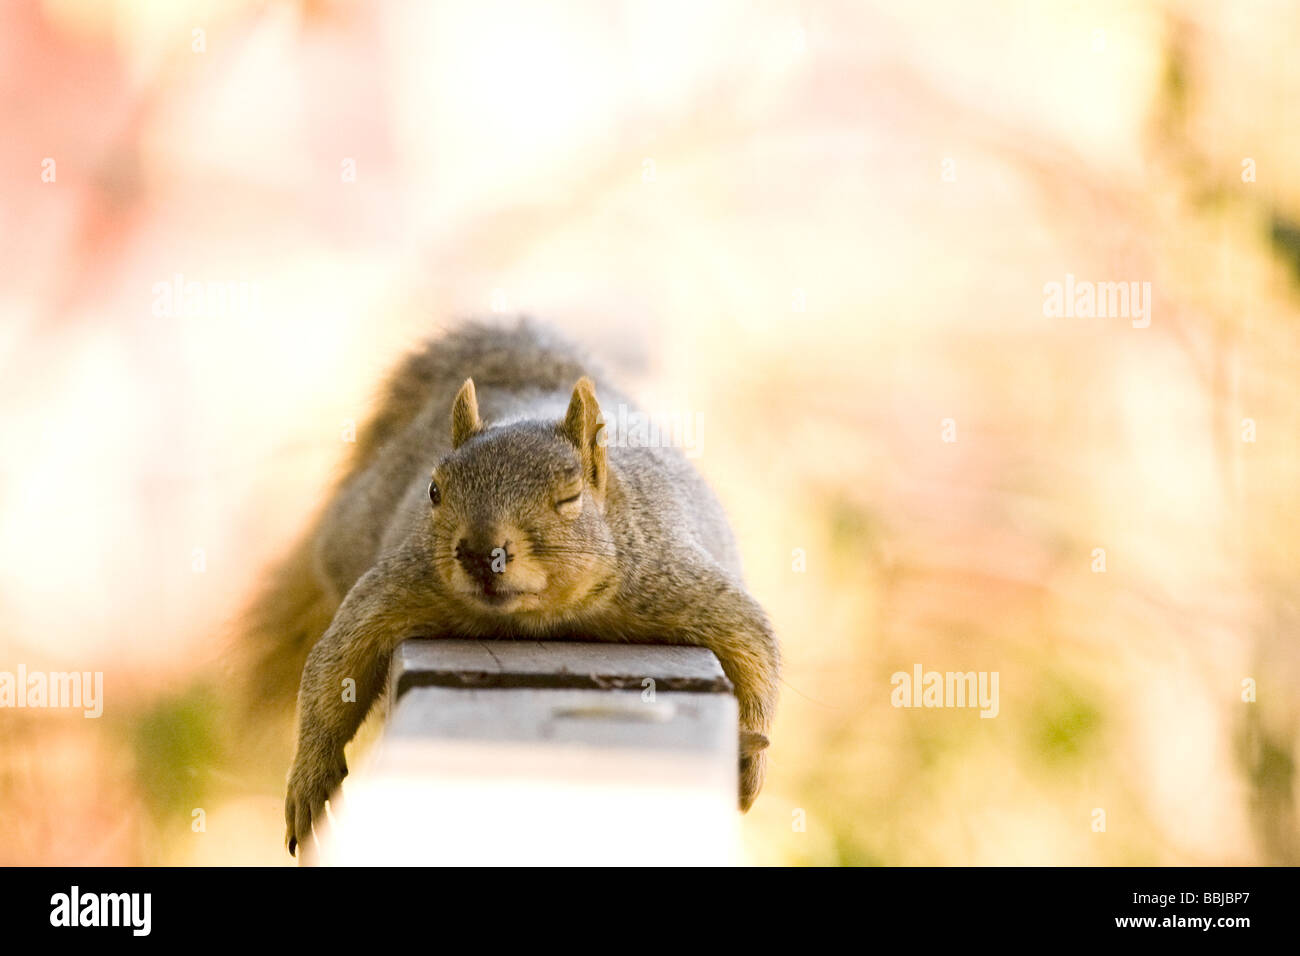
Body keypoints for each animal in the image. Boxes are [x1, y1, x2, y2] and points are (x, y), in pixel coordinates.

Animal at [243, 319, 780, 856]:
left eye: (569, 497)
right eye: (434, 491)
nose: (481, 553)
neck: (538, 616)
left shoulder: (674, 582)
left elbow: (754, 648)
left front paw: (749, 759)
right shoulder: (399, 587)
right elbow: (334, 667)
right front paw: (310, 779)